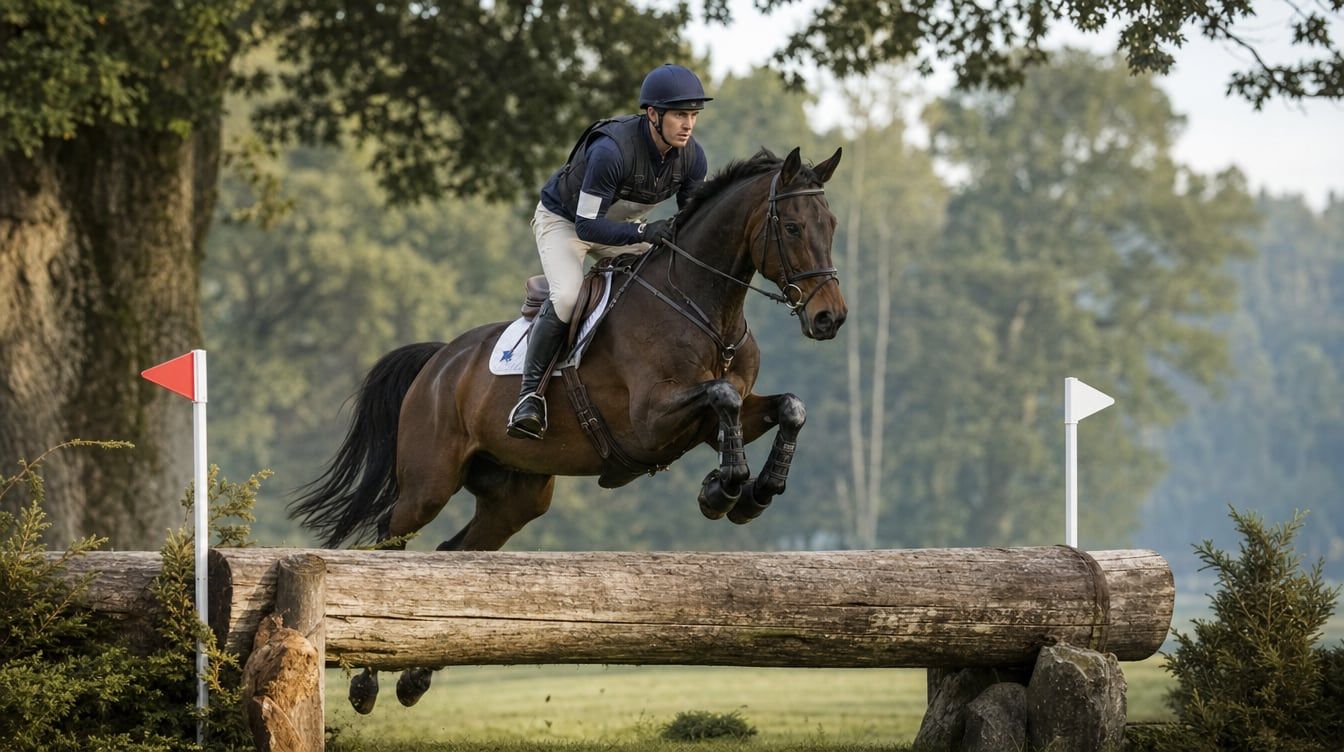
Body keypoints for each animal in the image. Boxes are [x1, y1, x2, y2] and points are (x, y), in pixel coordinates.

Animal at [289, 146, 847, 713]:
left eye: (831, 224)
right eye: (794, 226)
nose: (830, 318)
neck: (704, 311)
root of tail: (439, 360)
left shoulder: (710, 422)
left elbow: (787, 407)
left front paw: (755, 491)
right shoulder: (649, 421)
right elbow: (724, 397)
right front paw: (725, 488)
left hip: (516, 497)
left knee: (457, 556)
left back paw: (415, 678)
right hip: (429, 483)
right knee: (390, 542)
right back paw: (366, 684)